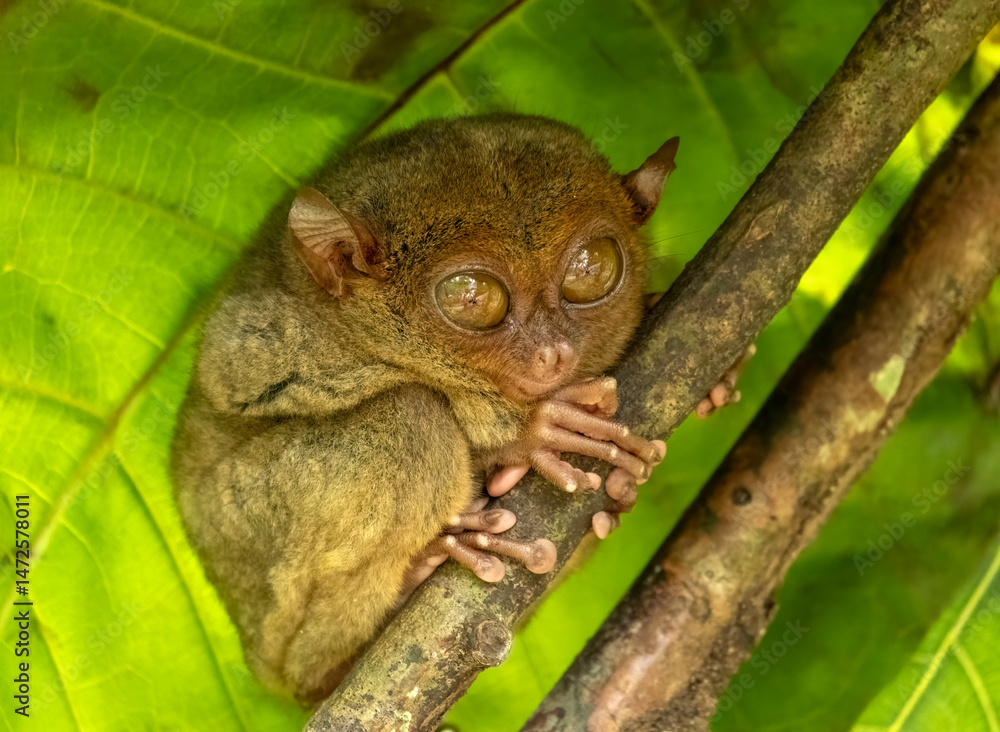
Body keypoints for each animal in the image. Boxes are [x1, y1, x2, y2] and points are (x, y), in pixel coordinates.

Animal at [170, 112, 742, 704]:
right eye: (472, 297)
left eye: (591, 269)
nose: (554, 352)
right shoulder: (270, 337)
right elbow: (255, 375)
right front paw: (532, 434)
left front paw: (712, 371)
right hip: (256, 557)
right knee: (411, 417)